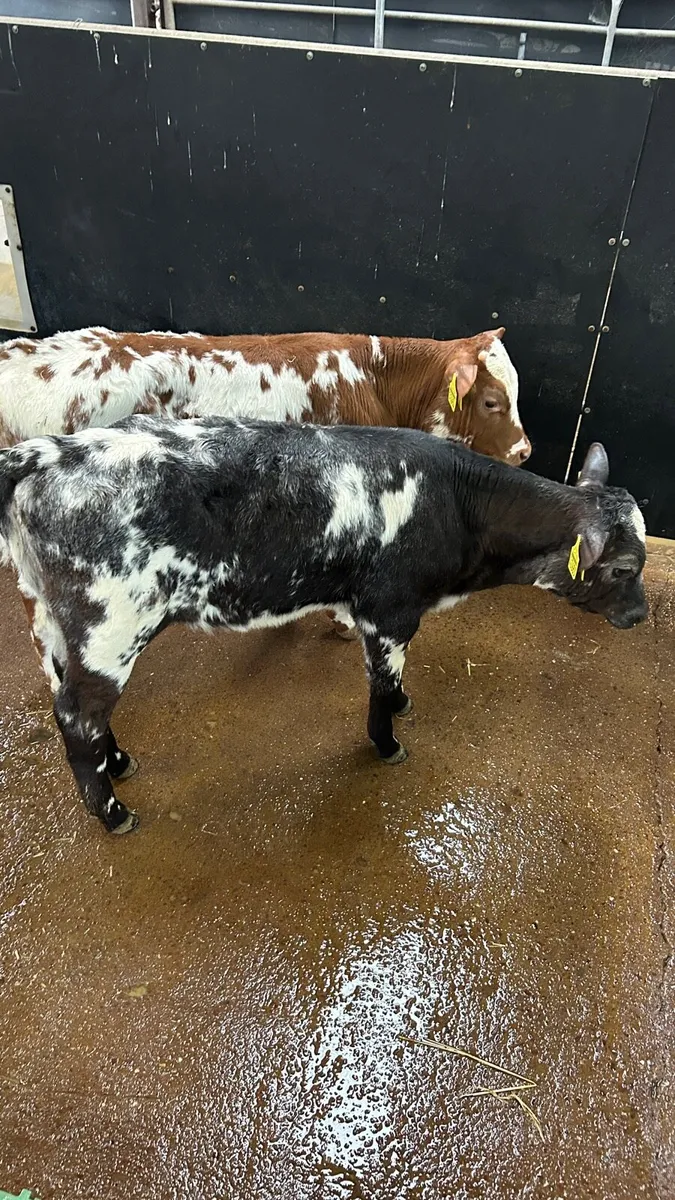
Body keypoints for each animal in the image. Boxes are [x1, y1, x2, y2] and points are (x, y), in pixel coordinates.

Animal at [0, 417, 646, 836]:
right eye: (622, 567)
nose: (640, 615)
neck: (455, 505)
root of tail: (49, 453)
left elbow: (392, 683)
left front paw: (405, 704)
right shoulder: (389, 611)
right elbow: (381, 687)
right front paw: (387, 743)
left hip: (57, 623)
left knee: (69, 699)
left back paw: (118, 762)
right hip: (111, 626)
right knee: (78, 717)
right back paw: (113, 813)